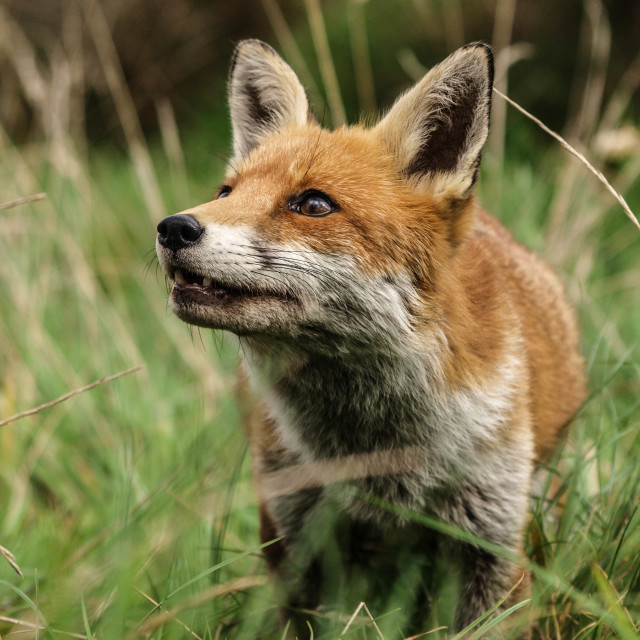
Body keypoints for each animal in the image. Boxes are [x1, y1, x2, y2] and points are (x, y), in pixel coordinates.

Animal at [155, 41, 584, 640]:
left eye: (313, 204)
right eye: (225, 192)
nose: (174, 228)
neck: (381, 460)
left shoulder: (493, 538)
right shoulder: (295, 536)